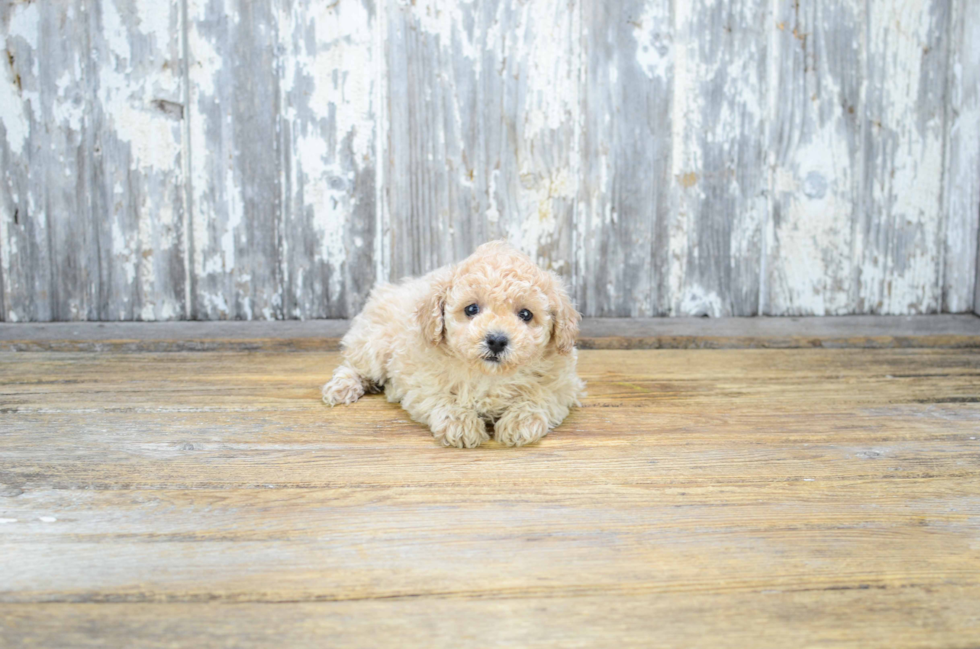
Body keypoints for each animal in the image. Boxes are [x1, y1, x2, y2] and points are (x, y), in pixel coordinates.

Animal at [322, 240, 580, 448]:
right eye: (471, 309)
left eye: (526, 314)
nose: (497, 340)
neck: (489, 375)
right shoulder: (422, 379)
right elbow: (442, 398)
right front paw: (461, 423)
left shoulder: (561, 384)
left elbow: (540, 396)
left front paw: (521, 421)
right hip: (373, 342)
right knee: (354, 365)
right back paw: (342, 387)